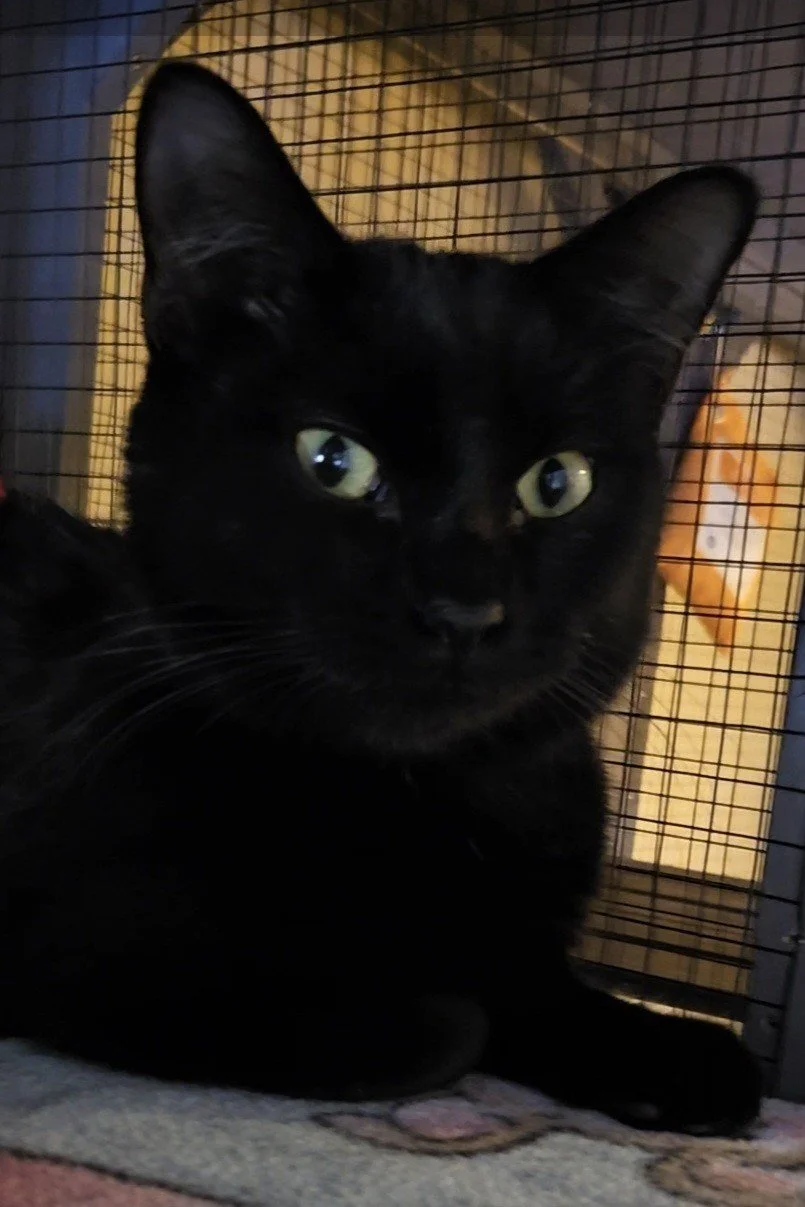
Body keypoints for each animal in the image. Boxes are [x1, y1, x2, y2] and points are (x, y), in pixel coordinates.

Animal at [0, 61, 762, 1135]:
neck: (414, 803)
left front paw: (670, 1052)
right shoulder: (74, 949)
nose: (462, 612)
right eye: (333, 460)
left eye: (556, 482)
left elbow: (531, 983)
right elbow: (447, 1023)